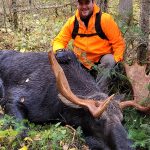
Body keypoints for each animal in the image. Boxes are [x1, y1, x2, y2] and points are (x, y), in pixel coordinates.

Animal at [0, 49, 149, 149]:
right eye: (98, 120)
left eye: (122, 120)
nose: (128, 146)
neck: (58, 107)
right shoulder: (15, 97)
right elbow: (23, 133)